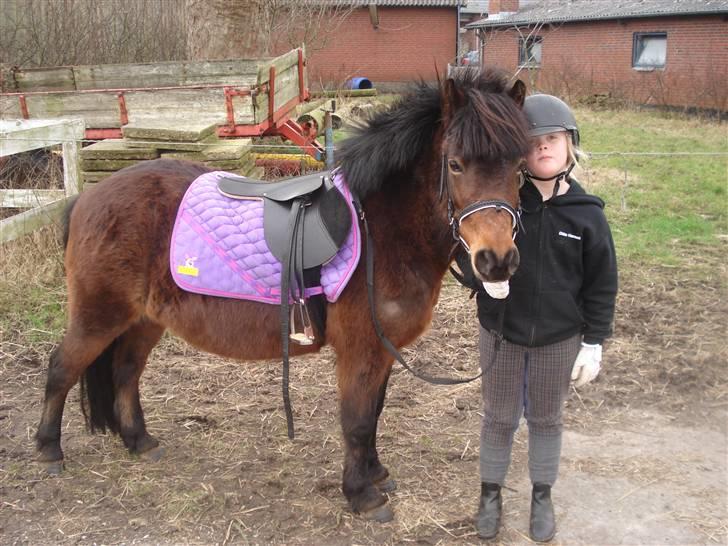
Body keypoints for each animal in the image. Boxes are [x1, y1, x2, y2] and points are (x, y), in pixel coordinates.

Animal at [35, 68, 530, 522]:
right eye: (456, 164)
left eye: (520, 168)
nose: (497, 260)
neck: (383, 229)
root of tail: (86, 199)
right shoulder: (361, 349)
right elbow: (357, 420)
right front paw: (362, 495)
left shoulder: (383, 350)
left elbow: (375, 413)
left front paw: (375, 473)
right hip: (99, 315)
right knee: (62, 367)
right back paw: (48, 450)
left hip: (144, 319)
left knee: (125, 372)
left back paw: (139, 441)